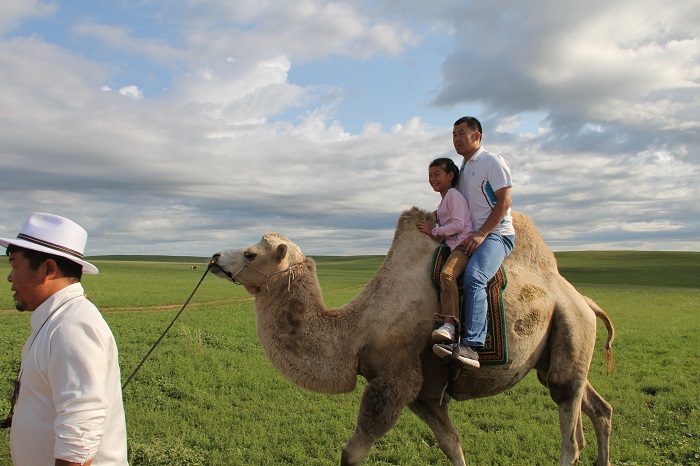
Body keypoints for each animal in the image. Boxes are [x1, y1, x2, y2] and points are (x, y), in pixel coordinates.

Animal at [210, 207, 615, 466]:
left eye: (250, 253)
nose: (214, 257)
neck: (356, 331)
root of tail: (584, 300)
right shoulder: (424, 392)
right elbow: (452, 444)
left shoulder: (394, 379)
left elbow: (351, 453)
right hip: (559, 350)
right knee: (599, 408)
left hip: (571, 330)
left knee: (571, 433)